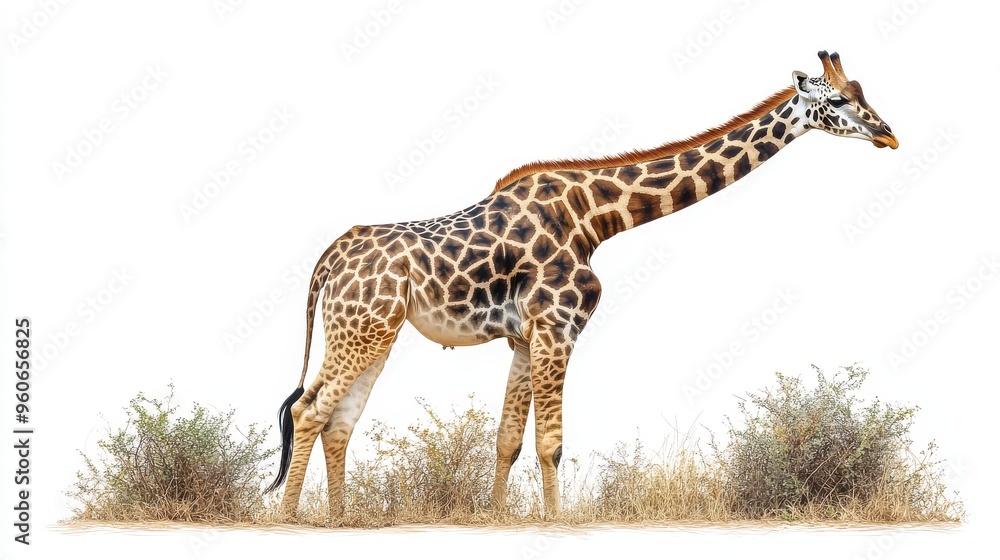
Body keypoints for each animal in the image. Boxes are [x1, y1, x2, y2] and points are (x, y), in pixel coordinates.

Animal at [266, 51, 897, 518]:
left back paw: (340, 518)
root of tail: (328, 259)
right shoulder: (557, 325)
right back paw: (292, 519)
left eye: (864, 92)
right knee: (311, 411)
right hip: (362, 328)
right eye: (839, 100)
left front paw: (497, 518)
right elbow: (552, 443)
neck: (595, 217)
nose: (888, 135)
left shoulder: (525, 337)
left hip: (372, 331)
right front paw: (553, 522)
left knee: (337, 419)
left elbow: (508, 439)